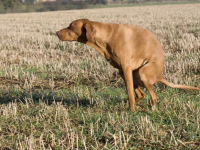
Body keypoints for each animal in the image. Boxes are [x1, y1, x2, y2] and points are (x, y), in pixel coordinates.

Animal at [56, 18, 200, 111]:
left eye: (70, 26)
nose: (56, 32)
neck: (106, 36)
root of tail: (159, 76)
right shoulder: (122, 70)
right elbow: (130, 91)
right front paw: (131, 106)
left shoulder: (126, 68)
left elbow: (130, 92)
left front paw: (132, 110)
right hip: (134, 74)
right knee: (141, 94)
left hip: (142, 72)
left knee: (153, 96)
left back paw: (151, 108)